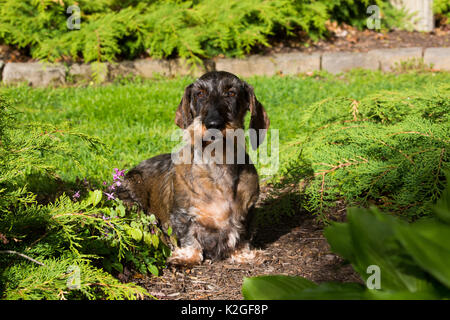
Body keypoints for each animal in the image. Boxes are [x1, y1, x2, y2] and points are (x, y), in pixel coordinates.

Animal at [118, 72, 268, 264]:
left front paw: (243, 254)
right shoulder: (181, 215)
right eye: (200, 94)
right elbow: (188, 236)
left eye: (231, 93)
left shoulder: (247, 212)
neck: (218, 162)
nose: (213, 124)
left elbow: (242, 235)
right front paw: (186, 256)